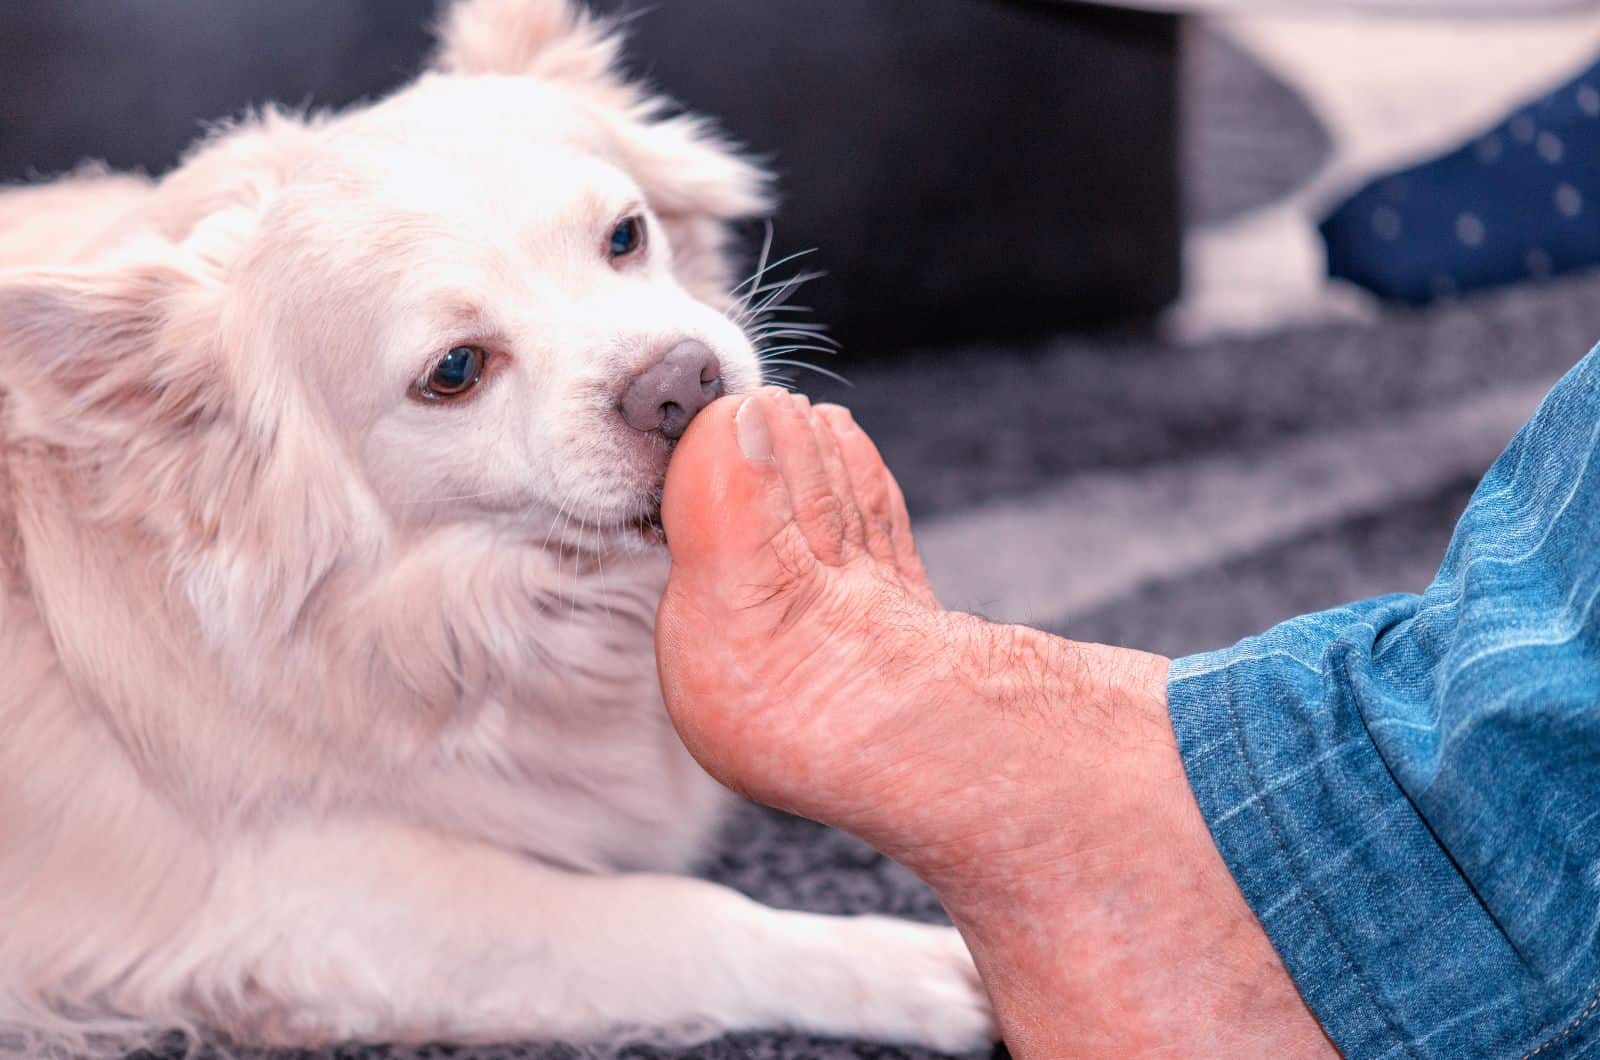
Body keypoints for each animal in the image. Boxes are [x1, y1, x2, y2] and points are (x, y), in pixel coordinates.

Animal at [0, 4, 992, 1056]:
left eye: (626, 236)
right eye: (455, 371)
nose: (679, 381)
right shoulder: (315, 906)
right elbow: (683, 918)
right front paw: (904, 966)